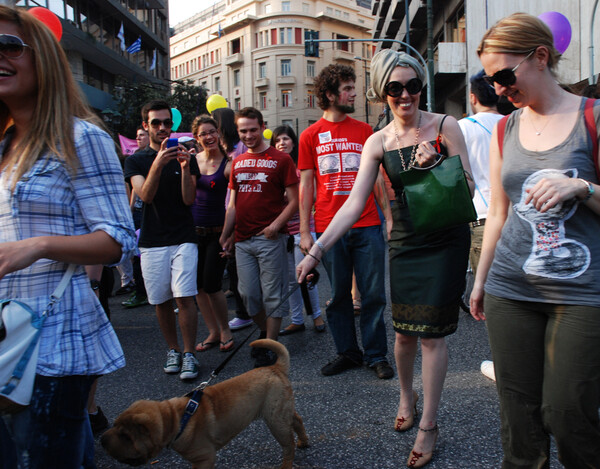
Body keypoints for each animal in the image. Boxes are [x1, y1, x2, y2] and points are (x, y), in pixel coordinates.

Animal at [101, 338, 310, 466]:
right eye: (115, 426)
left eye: (125, 436)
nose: (102, 440)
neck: (178, 420)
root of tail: (275, 367)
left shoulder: (203, 458)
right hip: (281, 411)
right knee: (297, 420)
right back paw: (304, 441)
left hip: (275, 420)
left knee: (288, 446)